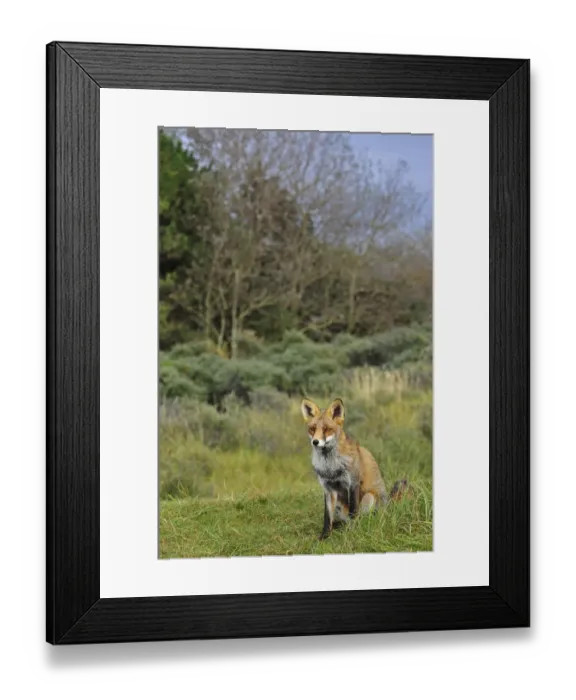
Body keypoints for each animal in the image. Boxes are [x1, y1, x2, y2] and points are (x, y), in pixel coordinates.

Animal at [301, 397, 409, 540]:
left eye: (326, 429)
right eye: (312, 429)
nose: (315, 442)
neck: (331, 466)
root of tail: (389, 505)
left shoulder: (353, 483)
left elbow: (353, 512)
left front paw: (353, 533)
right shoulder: (328, 489)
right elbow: (327, 518)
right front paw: (324, 536)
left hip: (369, 497)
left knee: (365, 518)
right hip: (339, 503)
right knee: (342, 520)